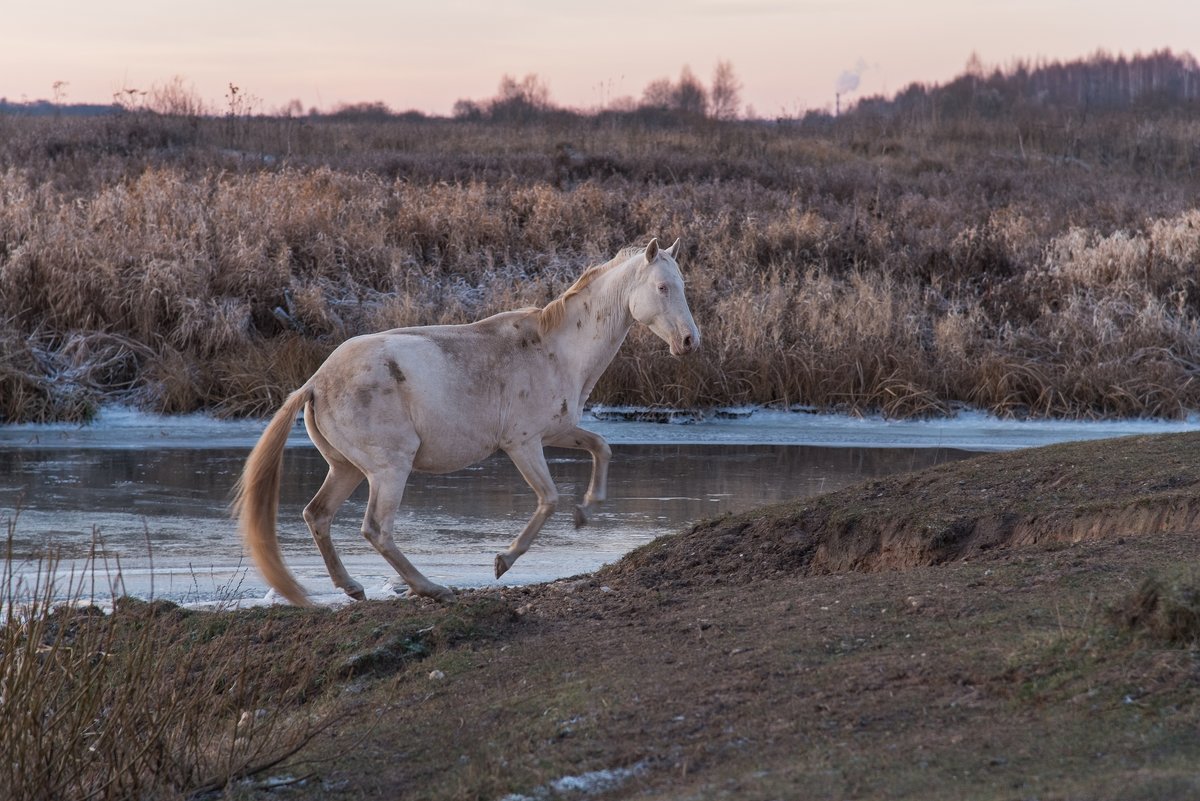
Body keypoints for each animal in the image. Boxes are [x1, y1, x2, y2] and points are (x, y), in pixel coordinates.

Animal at [232, 241, 700, 604]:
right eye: (661, 287)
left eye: (681, 286)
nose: (690, 341)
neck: (555, 349)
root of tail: (314, 383)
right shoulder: (523, 443)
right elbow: (548, 498)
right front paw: (503, 561)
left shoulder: (557, 432)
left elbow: (602, 447)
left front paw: (586, 510)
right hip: (389, 469)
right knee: (376, 529)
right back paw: (431, 588)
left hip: (346, 468)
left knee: (318, 515)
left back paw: (353, 588)